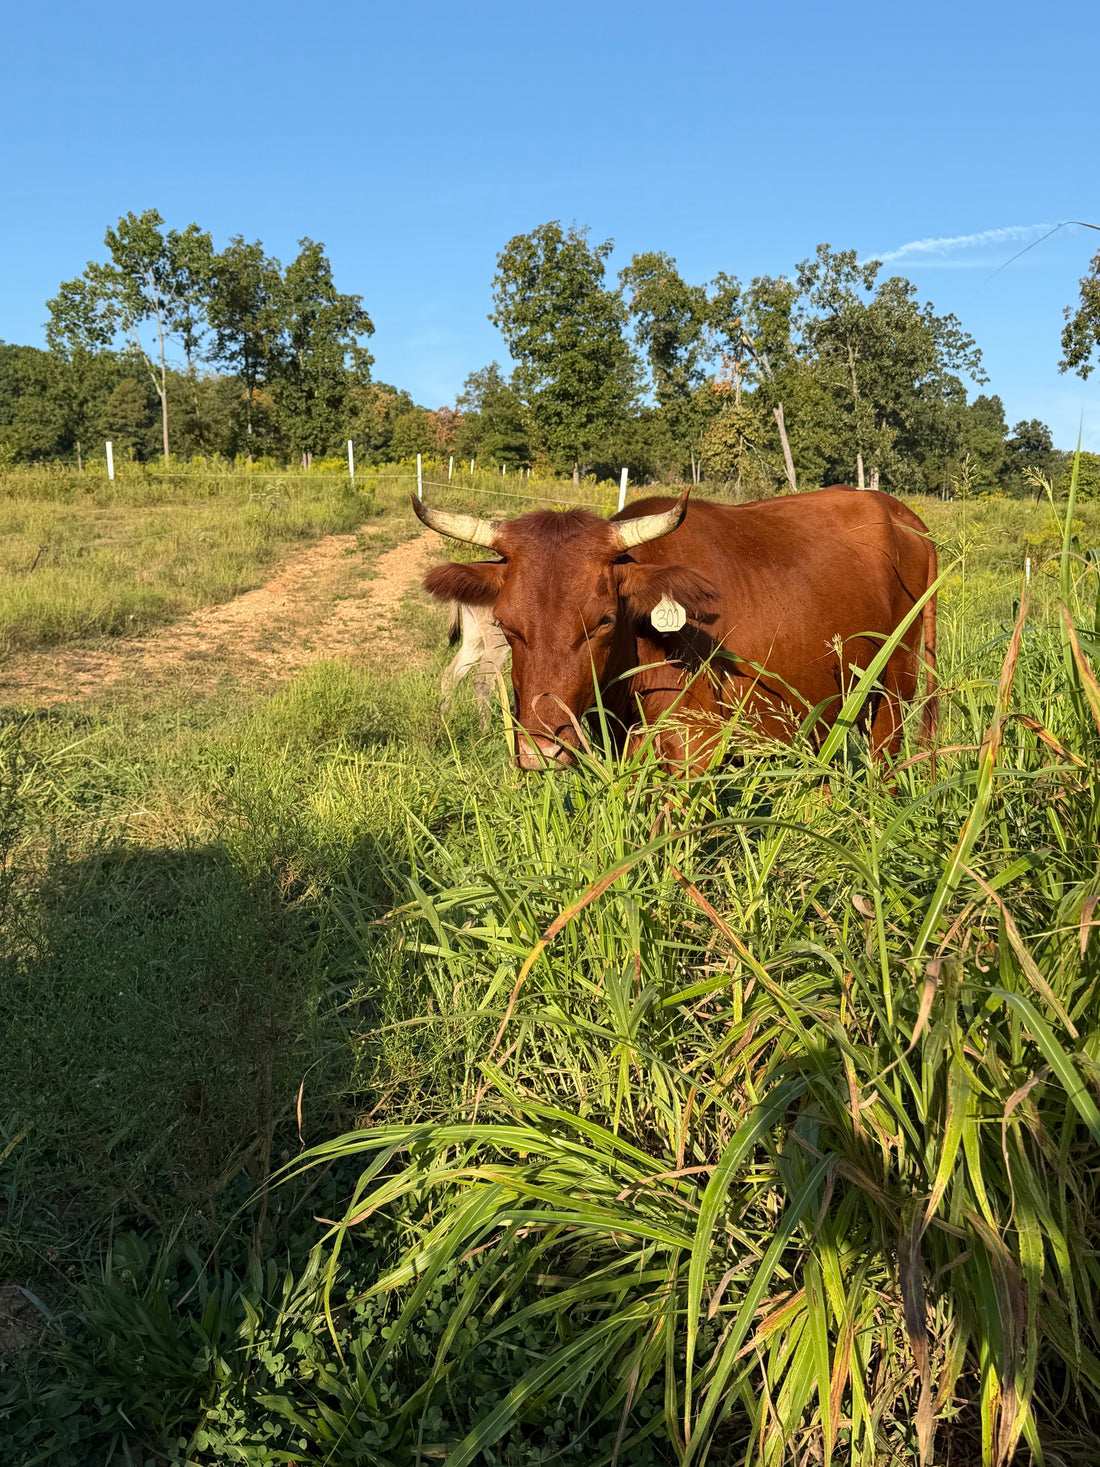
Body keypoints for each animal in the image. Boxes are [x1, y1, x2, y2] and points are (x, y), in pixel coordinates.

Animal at [412, 487, 937, 772]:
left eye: (604, 620)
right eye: (506, 622)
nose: (541, 751)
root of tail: (901, 514)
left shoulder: (695, 748)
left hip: (898, 683)